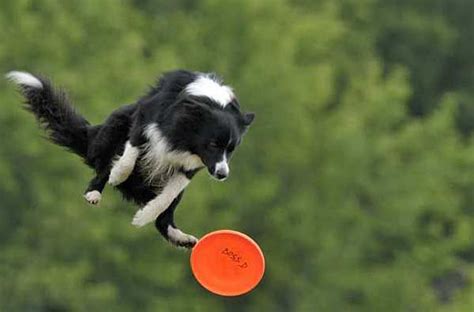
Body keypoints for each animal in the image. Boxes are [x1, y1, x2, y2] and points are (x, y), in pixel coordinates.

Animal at [5, 70, 254, 249]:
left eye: (231, 149)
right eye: (213, 145)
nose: (222, 174)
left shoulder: (191, 166)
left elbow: (166, 197)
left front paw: (144, 216)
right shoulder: (145, 119)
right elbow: (131, 150)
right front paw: (118, 175)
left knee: (165, 217)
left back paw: (181, 238)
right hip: (116, 124)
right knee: (102, 168)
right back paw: (95, 192)